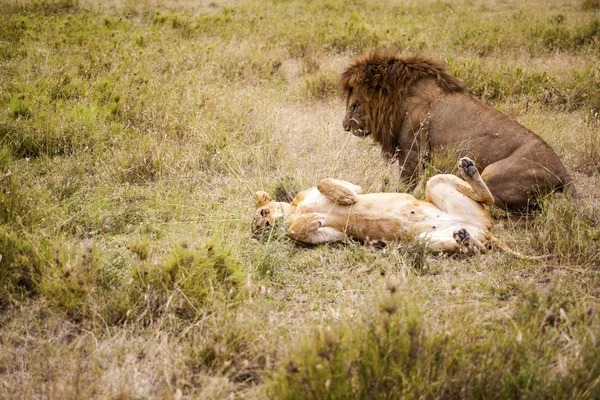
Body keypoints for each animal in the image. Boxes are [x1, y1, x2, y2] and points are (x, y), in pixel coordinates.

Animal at [251, 156, 532, 256]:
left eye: (264, 213)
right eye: (260, 231)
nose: (267, 224)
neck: (295, 211)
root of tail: (485, 229)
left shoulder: (353, 186)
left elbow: (326, 182)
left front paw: (345, 198)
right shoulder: (334, 237)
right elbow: (296, 231)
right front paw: (311, 221)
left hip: (436, 181)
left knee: (489, 200)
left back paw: (469, 169)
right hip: (425, 240)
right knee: (478, 250)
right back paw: (464, 238)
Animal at [338, 50, 572, 209]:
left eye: (355, 105)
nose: (345, 126)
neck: (399, 99)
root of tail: (564, 172)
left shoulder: (412, 152)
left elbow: (405, 184)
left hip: (493, 173)